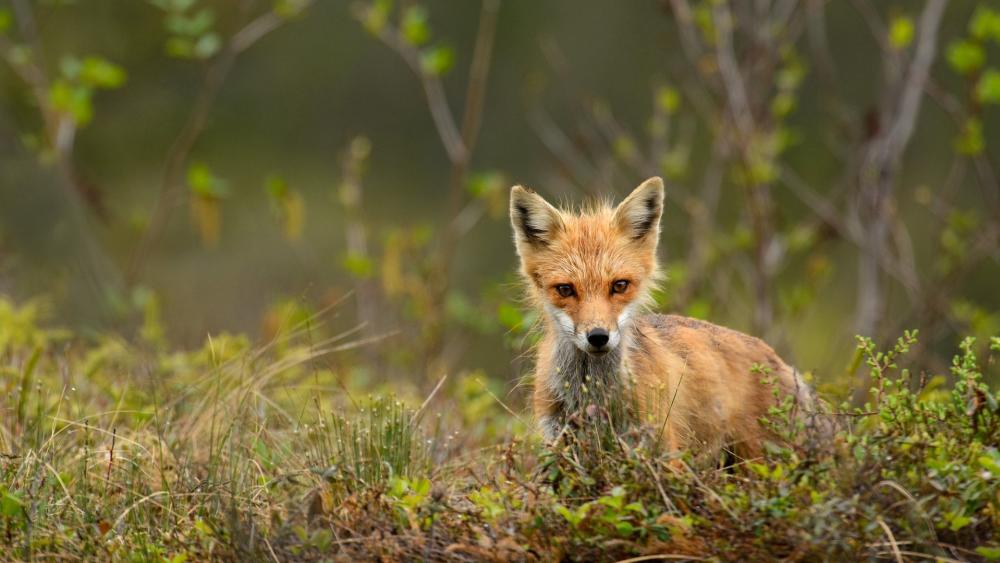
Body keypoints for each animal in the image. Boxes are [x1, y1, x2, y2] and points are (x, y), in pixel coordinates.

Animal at [512, 177, 816, 462]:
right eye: (565, 289)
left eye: (619, 285)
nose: (598, 336)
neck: (593, 396)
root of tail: (781, 363)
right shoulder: (559, 442)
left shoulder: (660, 450)